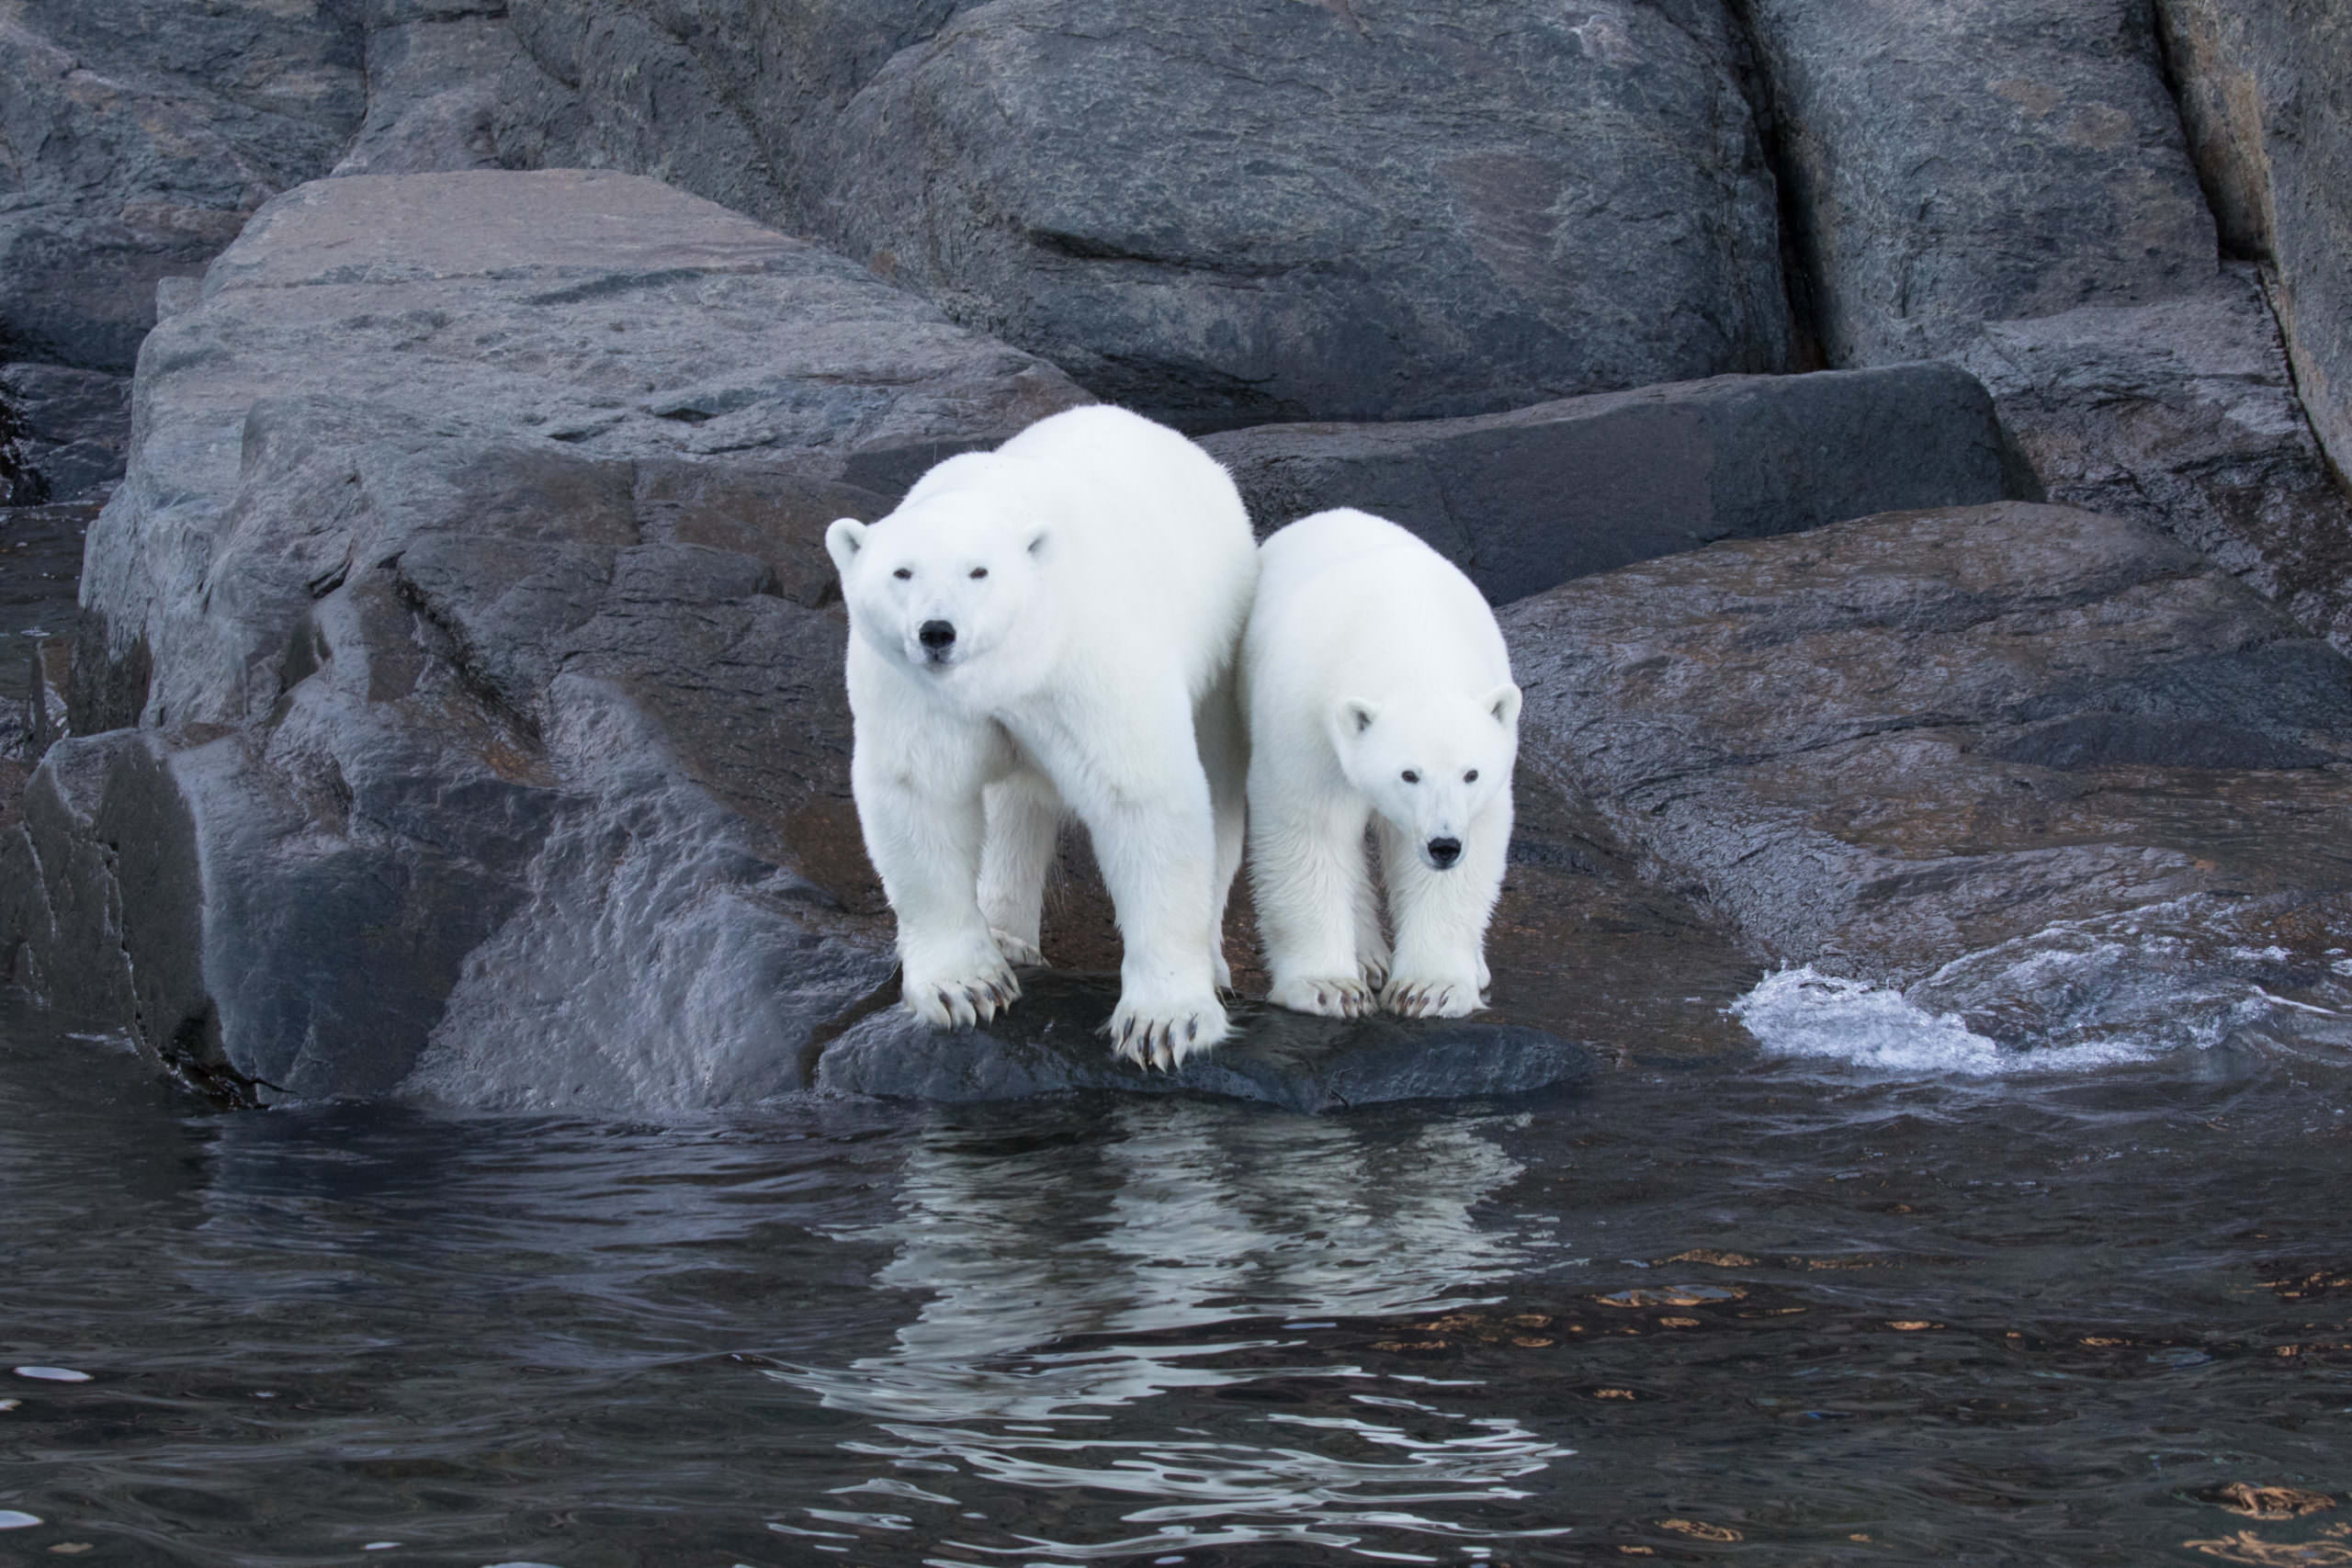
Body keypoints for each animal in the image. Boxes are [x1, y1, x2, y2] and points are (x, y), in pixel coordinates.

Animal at [828, 404, 1270, 1072]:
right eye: (901, 572)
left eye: (979, 571)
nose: (937, 631)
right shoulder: (914, 691)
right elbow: (919, 793)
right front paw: (966, 985)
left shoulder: (1083, 661)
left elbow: (1142, 796)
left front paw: (1165, 1022)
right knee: (1017, 805)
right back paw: (1008, 936)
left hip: (1221, 639)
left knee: (1217, 787)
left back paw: (1214, 964)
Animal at [1250, 502, 1523, 1020]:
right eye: (1408, 774)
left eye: (1471, 773)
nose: (1443, 845)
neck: (1407, 645)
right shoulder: (1309, 723)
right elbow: (1309, 832)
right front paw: (1329, 986)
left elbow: (1471, 852)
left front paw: (1432, 988)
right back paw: (1365, 956)